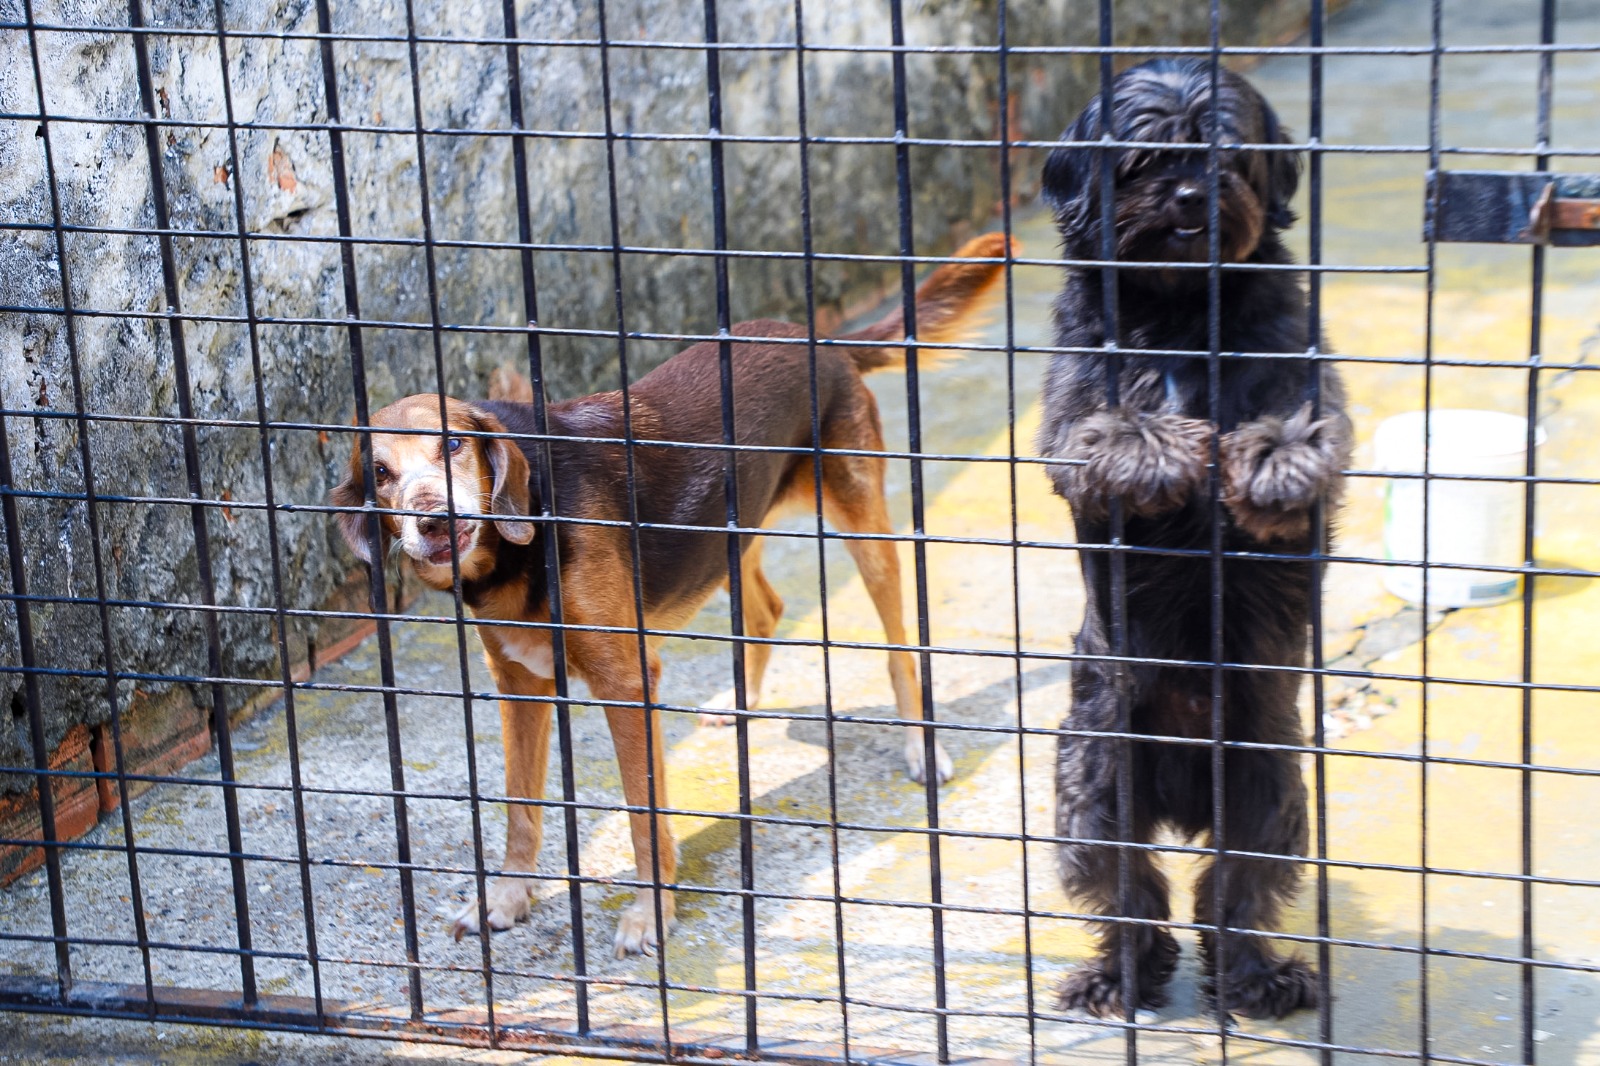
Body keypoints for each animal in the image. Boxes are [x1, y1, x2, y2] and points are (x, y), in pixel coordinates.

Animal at [328, 235, 1011, 953]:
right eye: (381, 474)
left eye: (454, 443)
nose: (431, 520)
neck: (520, 544)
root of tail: (814, 337)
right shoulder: (519, 683)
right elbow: (520, 808)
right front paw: (507, 899)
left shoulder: (627, 682)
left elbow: (641, 813)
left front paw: (649, 913)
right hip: (728, 540)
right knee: (768, 609)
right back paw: (737, 702)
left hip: (865, 530)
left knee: (899, 649)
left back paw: (921, 748)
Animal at [1036, 60, 1350, 1024]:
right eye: (1142, 159)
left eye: (1225, 155)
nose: (1186, 196)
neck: (1179, 307)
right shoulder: (1071, 414)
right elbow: (1104, 427)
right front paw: (1153, 451)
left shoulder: (1299, 370)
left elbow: (1302, 424)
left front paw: (1274, 462)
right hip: (1093, 788)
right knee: (1130, 891)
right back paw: (1119, 976)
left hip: (1270, 792)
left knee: (1233, 893)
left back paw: (1257, 978)